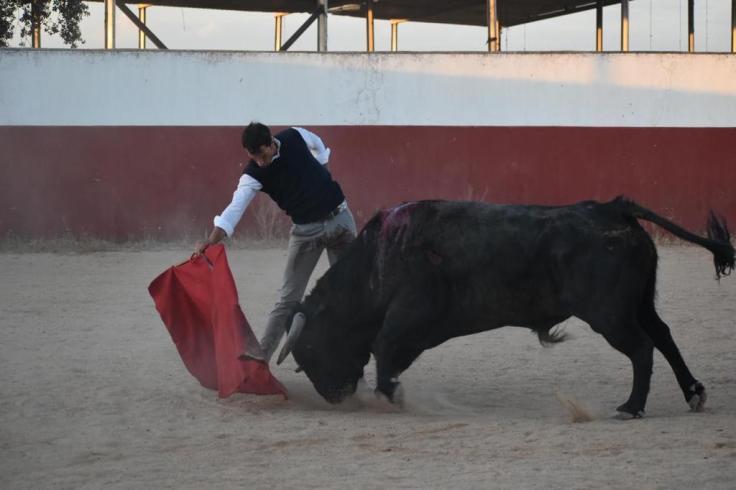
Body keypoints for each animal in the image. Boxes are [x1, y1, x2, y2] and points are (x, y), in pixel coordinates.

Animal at [276, 197, 734, 418]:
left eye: (310, 351)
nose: (336, 397)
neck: (378, 260)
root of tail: (612, 207)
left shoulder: (409, 316)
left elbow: (384, 349)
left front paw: (391, 398)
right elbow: (386, 353)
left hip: (610, 314)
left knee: (642, 348)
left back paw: (632, 407)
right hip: (637, 304)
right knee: (664, 336)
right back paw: (693, 393)